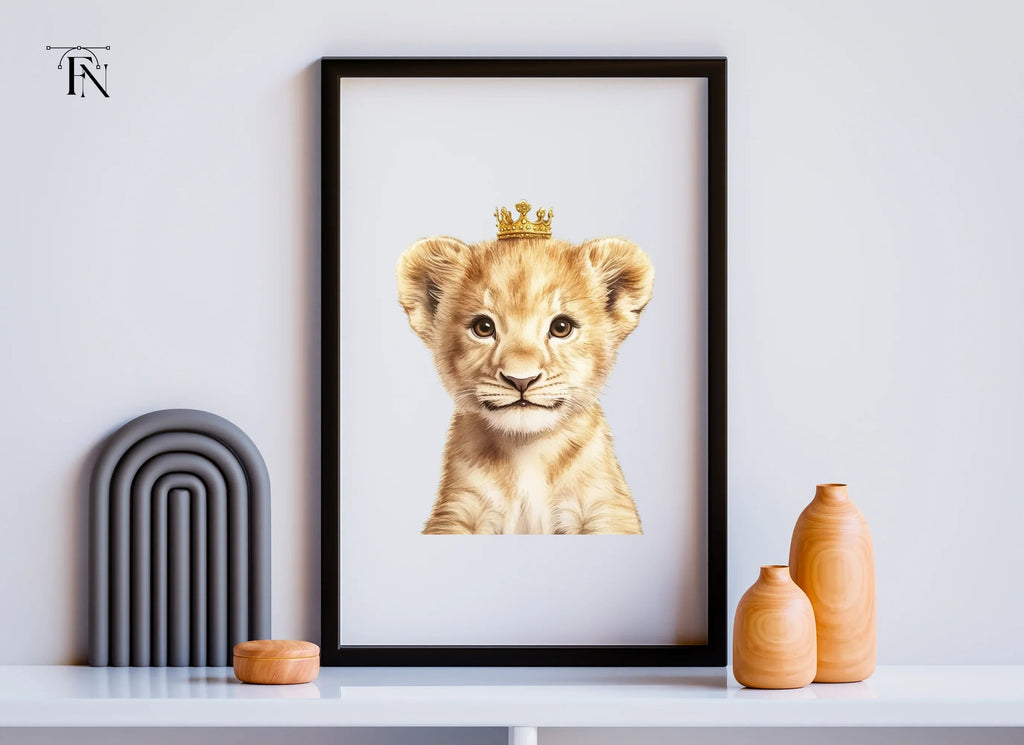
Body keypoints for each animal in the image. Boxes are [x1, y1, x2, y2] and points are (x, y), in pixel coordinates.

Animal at [397, 231, 654, 535]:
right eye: (483, 327)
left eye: (561, 328)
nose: (521, 379)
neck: (527, 451)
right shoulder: (457, 511)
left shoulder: (606, 509)